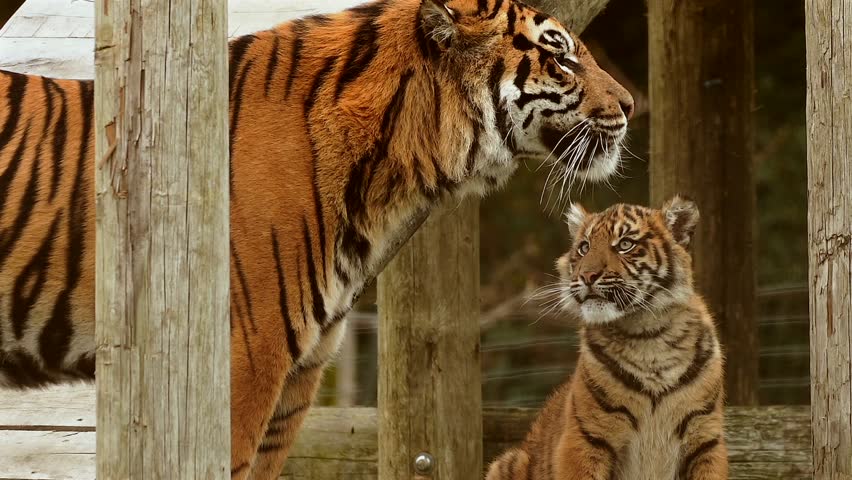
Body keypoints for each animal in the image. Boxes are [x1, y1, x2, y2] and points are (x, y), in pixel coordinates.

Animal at [486, 196, 727, 480]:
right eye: (584, 247)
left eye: (625, 244)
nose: (587, 276)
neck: (647, 334)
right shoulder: (586, 438)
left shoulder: (705, 439)